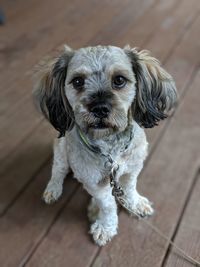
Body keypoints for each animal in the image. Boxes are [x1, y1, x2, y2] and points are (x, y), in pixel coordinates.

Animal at [33, 44, 177, 247]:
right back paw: (54, 189)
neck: (110, 149)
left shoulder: (133, 168)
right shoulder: (92, 181)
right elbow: (107, 204)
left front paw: (135, 203)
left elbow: (130, 187)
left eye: (119, 80)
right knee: (58, 171)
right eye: (77, 81)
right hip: (61, 150)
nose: (100, 108)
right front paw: (105, 226)